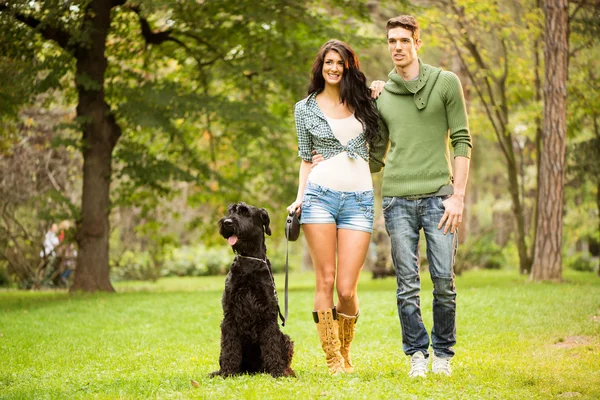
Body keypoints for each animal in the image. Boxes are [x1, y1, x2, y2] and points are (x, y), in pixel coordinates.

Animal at [211, 203, 296, 378]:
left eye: (245, 212)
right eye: (230, 211)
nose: (227, 222)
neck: (249, 261)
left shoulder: (269, 314)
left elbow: (271, 345)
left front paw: (276, 371)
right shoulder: (229, 315)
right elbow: (229, 347)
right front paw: (228, 372)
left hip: (285, 338)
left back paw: (287, 371)